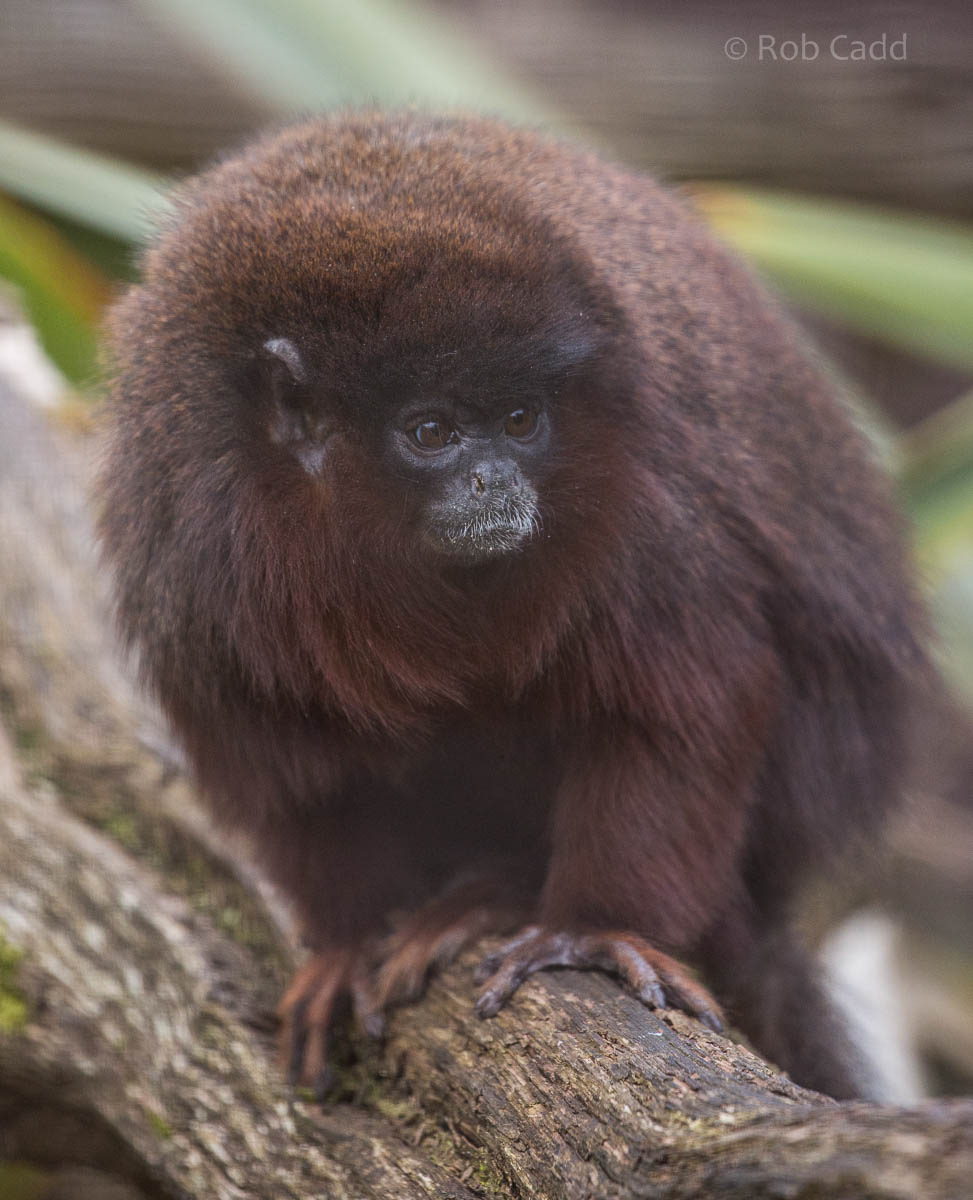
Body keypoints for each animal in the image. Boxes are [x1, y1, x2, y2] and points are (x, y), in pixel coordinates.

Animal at [98, 110, 927, 1101]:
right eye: (431, 432)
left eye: (522, 420)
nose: (495, 479)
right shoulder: (194, 548)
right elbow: (284, 759)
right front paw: (347, 942)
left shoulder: (648, 505)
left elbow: (683, 706)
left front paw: (594, 928)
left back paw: (496, 890)